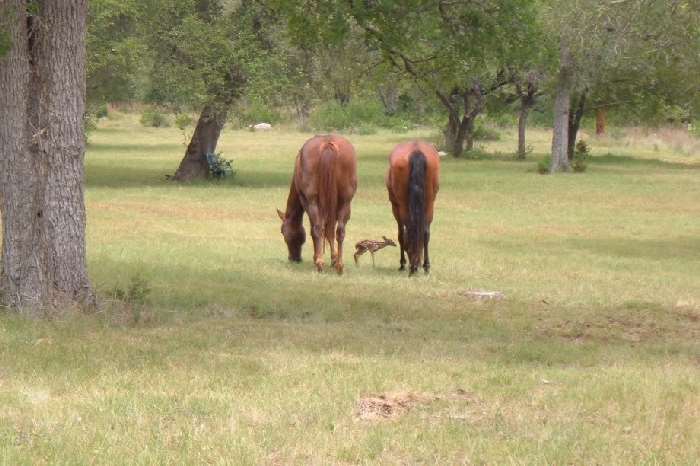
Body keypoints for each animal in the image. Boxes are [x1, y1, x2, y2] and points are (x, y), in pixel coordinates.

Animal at [278, 134, 358, 274]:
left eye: (283, 232)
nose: (294, 258)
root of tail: (327, 144)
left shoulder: (307, 202)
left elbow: (316, 230)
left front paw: (318, 257)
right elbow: (329, 231)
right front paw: (333, 259)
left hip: (312, 202)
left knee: (317, 228)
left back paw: (319, 263)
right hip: (345, 202)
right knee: (340, 230)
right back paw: (339, 265)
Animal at [386, 140, 440, 274]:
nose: (417, 262)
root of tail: (416, 150)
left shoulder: (395, 207)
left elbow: (401, 234)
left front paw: (402, 263)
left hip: (402, 206)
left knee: (410, 229)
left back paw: (410, 266)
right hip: (429, 203)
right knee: (425, 232)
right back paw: (426, 266)